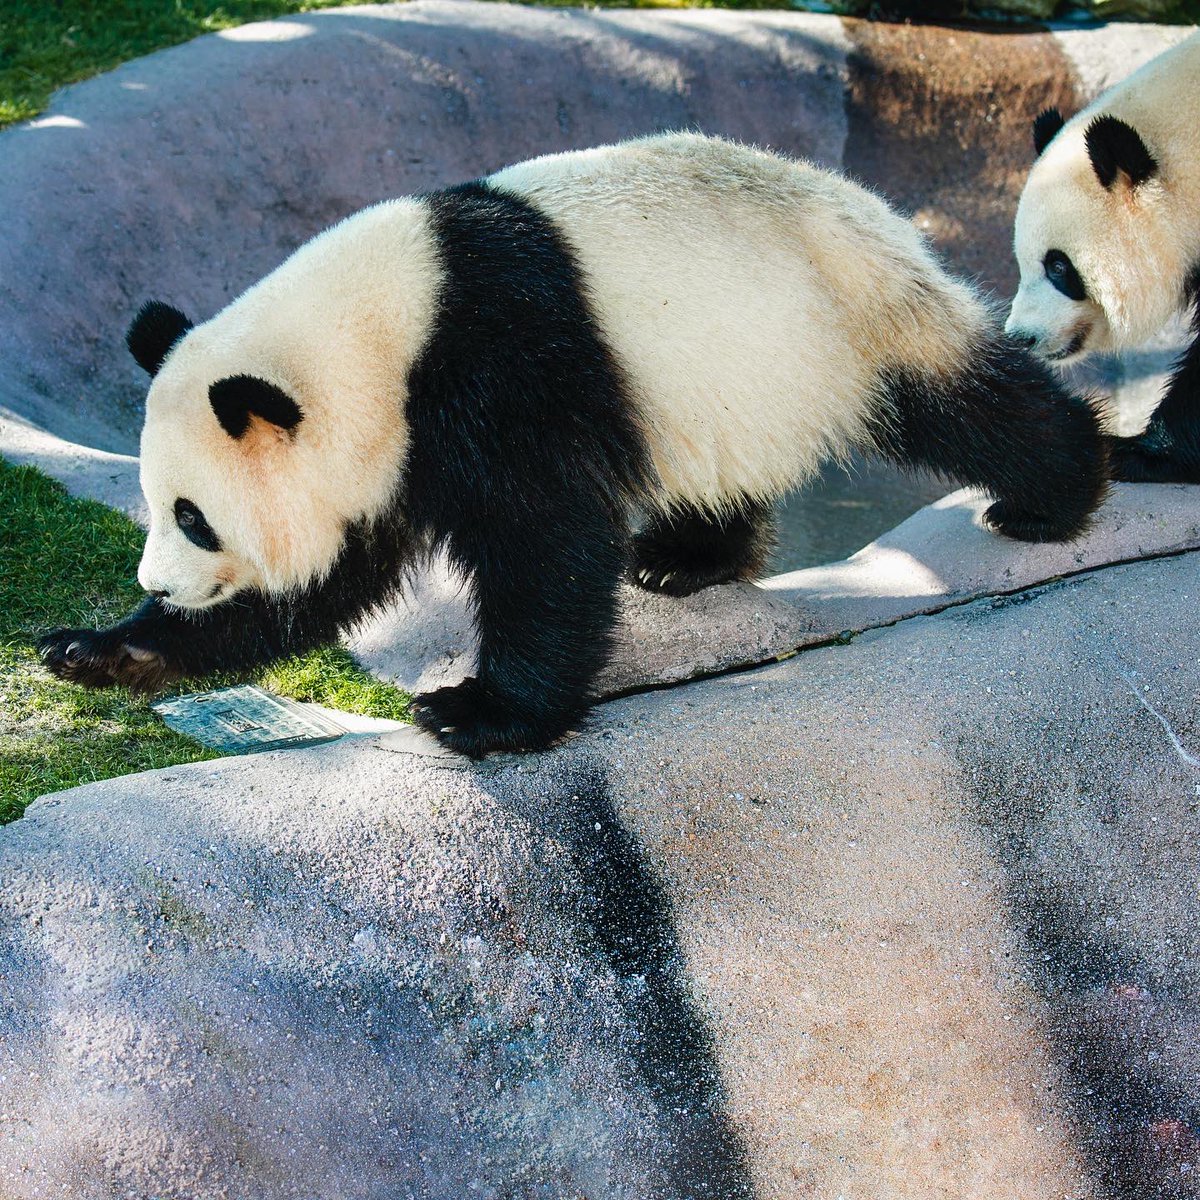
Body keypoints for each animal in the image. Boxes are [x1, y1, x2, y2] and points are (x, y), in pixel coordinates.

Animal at [39, 133, 1108, 757]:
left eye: (195, 517)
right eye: (158, 502)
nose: (163, 581)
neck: (381, 326)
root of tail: (878, 208)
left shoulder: (496, 366)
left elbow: (545, 541)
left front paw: (477, 712)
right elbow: (329, 581)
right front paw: (100, 649)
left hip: (844, 314)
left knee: (964, 407)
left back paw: (1053, 496)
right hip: (729, 380)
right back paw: (683, 562)